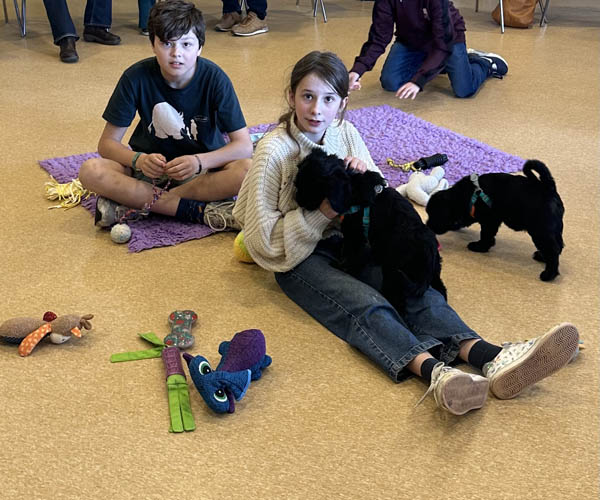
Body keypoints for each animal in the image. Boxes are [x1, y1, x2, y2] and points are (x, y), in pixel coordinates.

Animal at [295, 149, 447, 312]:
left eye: (310, 188)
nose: (298, 201)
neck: (352, 185)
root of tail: (429, 252)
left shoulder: (355, 236)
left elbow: (350, 254)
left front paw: (342, 267)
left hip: (393, 270)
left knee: (398, 300)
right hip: (434, 269)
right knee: (441, 288)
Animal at [425, 160, 564, 281]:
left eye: (434, 215)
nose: (427, 225)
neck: (466, 196)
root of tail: (548, 188)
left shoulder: (489, 221)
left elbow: (485, 235)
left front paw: (480, 247)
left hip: (540, 231)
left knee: (553, 250)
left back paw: (549, 274)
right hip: (552, 230)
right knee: (558, 246)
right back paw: (542, 257)